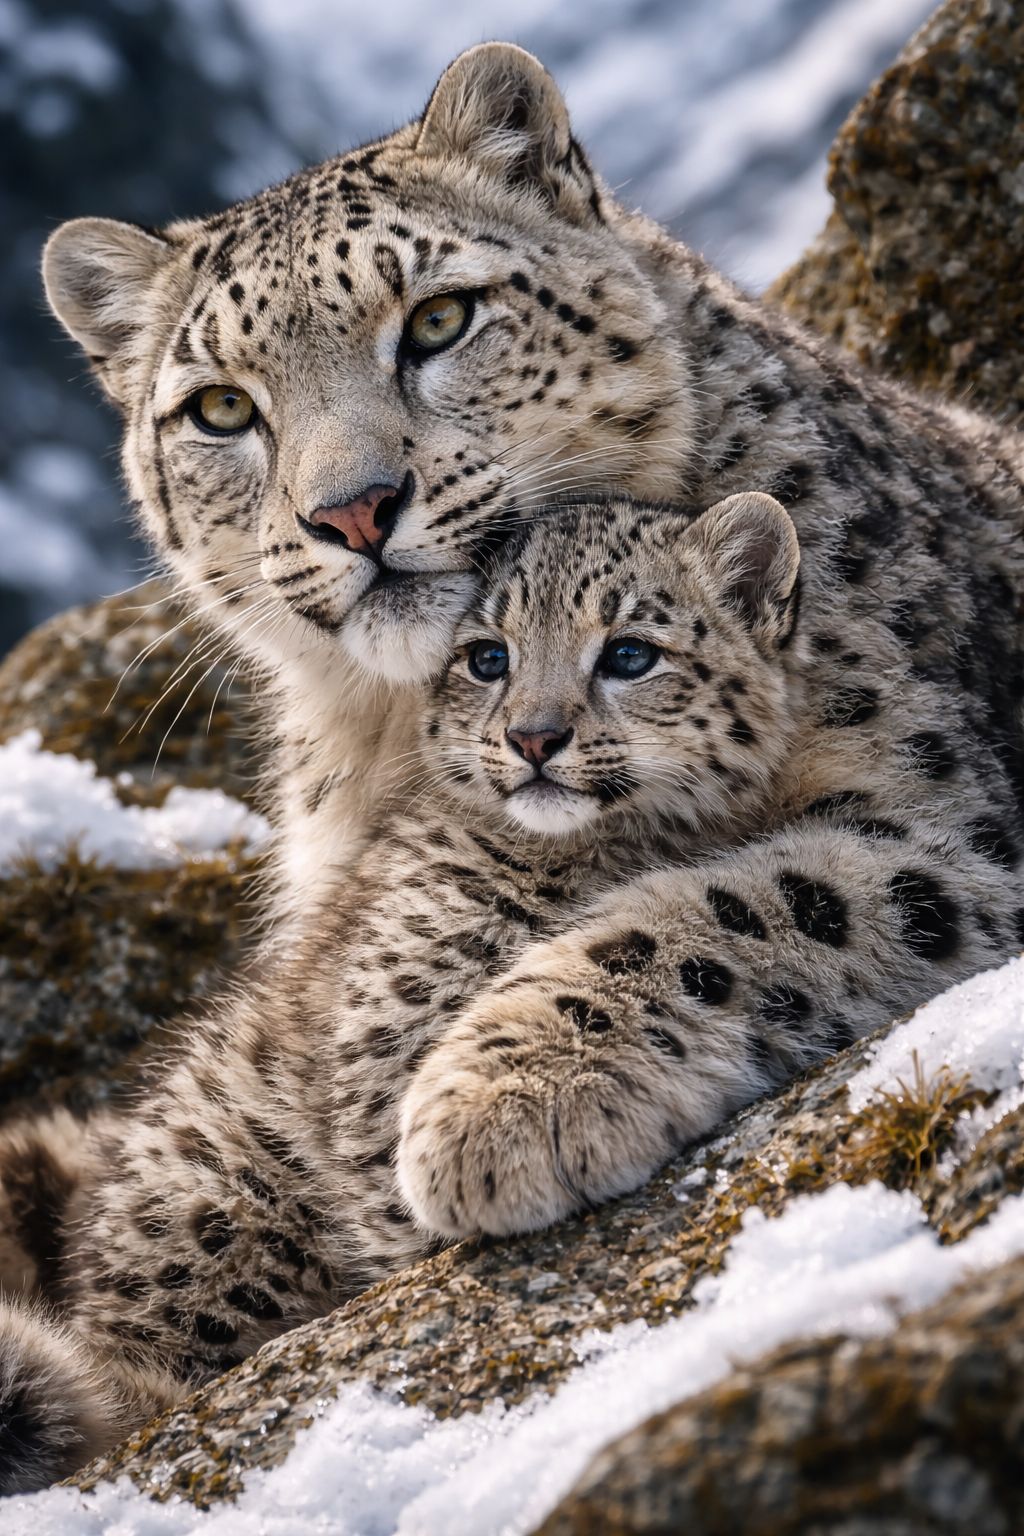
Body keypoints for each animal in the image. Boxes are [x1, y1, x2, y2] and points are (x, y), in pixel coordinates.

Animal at [2, 38, 1020, 1491]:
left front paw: (499, 1105)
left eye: (438, 320)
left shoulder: (946, 823)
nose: (353, 511)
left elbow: (742, 904)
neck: (380, 746)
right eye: (220, 409)